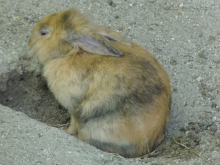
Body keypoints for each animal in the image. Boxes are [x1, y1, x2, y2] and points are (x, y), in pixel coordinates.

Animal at [28, 8, 171, 158]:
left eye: (43, 32)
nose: (29, 42)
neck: (69, 52)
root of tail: (146, 146)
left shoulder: (74, 105)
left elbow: (74, 123)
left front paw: (66, 132)